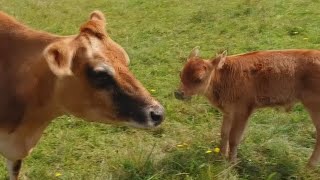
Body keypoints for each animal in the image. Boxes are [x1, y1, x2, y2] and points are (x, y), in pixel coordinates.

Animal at [176, 47, 320, 167]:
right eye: (180, 73)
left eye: (199, 79)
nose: (178, 93)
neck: (224, 76)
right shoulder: (228, 112)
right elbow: (224, 133)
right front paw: (221, 157)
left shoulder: (242, 112)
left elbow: (234, 138)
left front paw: (232, 163)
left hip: (314, 108)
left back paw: (309, 166)